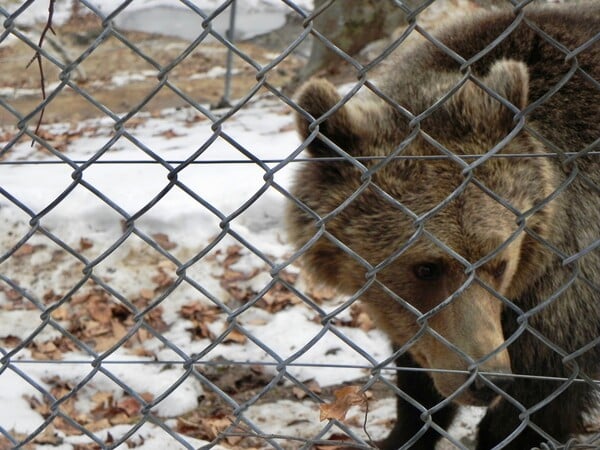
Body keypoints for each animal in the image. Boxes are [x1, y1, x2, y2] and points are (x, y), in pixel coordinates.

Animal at [286, 3, 600, 450]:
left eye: (499, 264)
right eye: (426, 268)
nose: (487, 381)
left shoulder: (567, 287)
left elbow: (543, 398)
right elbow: (419, 370)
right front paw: (404, 430)